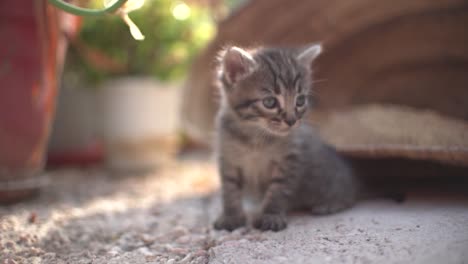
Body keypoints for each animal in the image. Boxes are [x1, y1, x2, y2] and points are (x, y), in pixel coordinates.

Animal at [214, 44, 356, 231]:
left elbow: (278, 191)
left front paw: (271, 215)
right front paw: (231, 216)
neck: (255, 136)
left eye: (300, 100)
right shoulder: (228, 158)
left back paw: (329, 205)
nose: (291, 121)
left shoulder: (289, 160)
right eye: (269, 102)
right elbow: (229, 189)